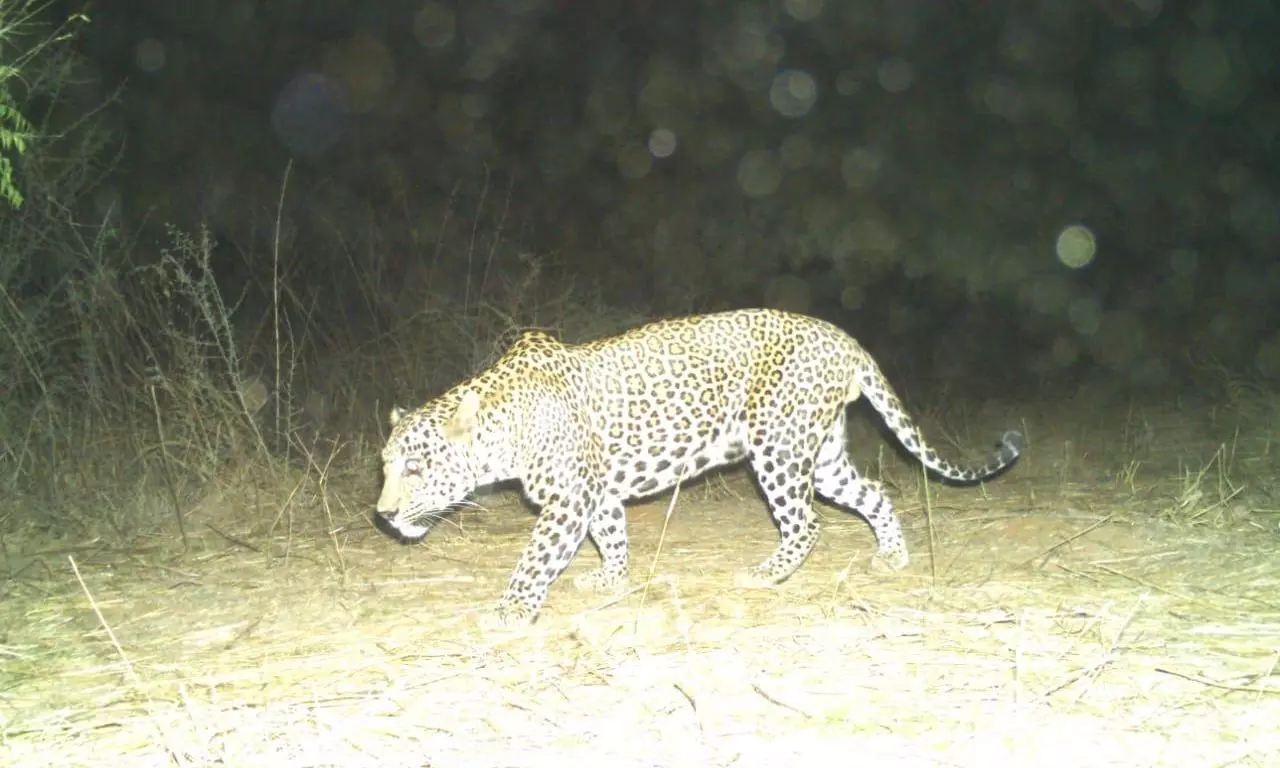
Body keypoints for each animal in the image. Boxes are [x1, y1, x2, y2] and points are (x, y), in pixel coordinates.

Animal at [376, 308, 1023, 628]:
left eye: (417, 468)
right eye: (385, 467)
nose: (382, 514)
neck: (504, 431)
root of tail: (845, 339)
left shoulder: (567, 500)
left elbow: (535, 559)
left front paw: (511, 610)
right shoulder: (597, 495)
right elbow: (612, 537)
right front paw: (612, 579)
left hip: (777, 446)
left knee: (806, 522)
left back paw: (767, 573)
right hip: (821, 455)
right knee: (873, 492)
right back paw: (892, 555)